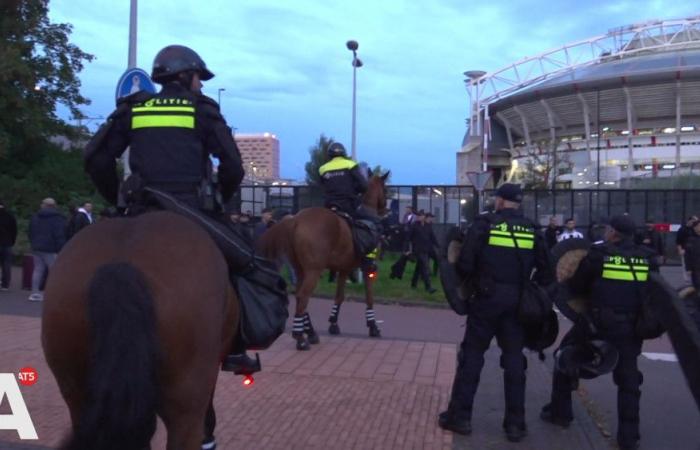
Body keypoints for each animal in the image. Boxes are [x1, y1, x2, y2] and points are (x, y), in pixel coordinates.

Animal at [258, 171, 392, 350]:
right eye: (385, 189)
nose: (386, 210)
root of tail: (295, 220)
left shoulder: (344, 268)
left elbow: (339, 296)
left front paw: (333, 323)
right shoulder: (368, 269)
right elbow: (369, 297)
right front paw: (373, 326)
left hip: (301, 270)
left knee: (299, 295)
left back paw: (310, 333)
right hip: (313, 271)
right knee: (303, 296)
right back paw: (300, 338)